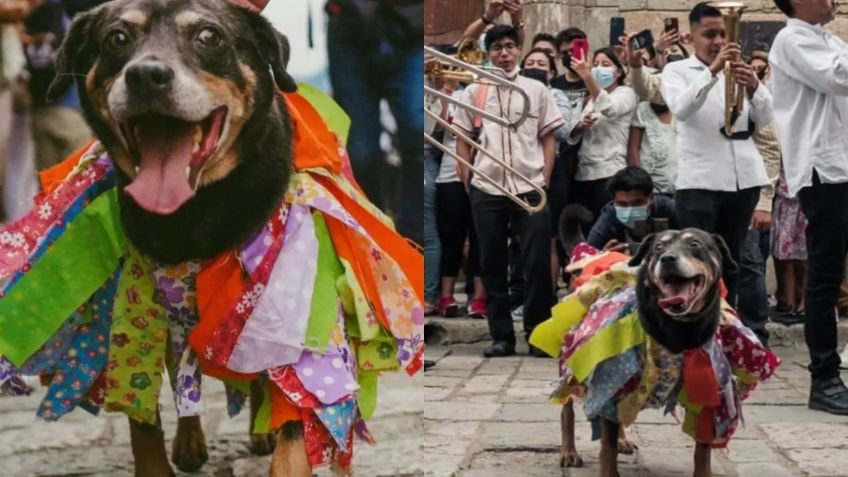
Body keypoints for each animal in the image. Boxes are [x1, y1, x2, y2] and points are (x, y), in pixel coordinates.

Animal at [49, 0, 308, 476]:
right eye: (116, 37)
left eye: (209, 36)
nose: (146, 75)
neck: (195, 212)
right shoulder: (138, 299)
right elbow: (144, 415)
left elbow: (291, 415)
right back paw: (189, 442)